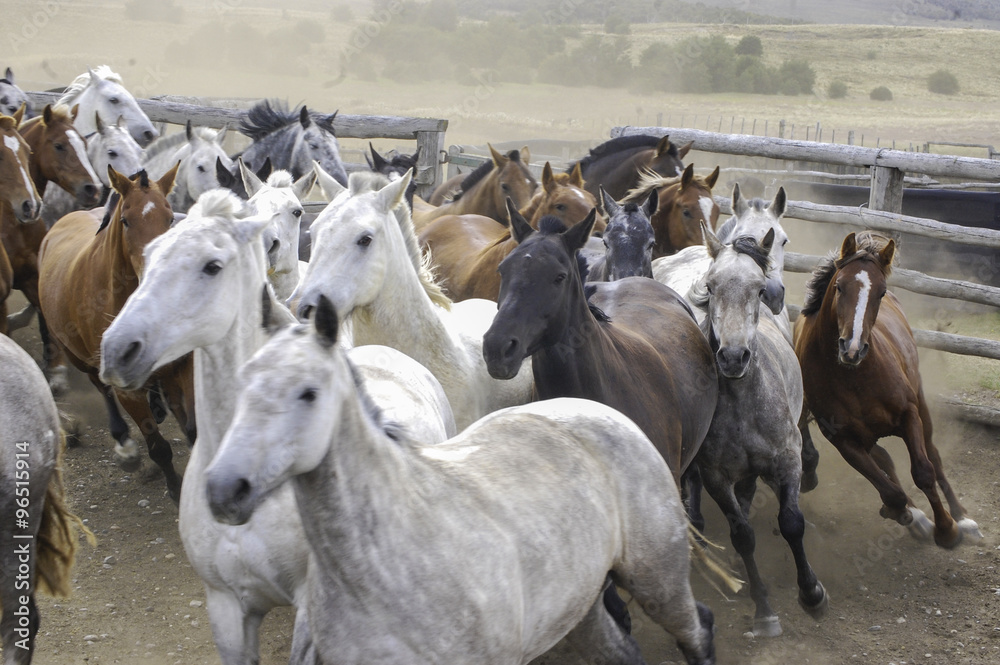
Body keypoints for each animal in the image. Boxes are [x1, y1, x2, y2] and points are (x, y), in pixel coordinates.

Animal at [37, 164, 194, 503]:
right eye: (126, 220)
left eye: (170, 218)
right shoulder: (126, 389)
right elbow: (158, 447)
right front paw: (175, 490)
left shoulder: (179, 367)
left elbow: (193, 429)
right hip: (81, 360)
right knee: (102, 389)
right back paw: (126, 446)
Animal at [204, 295, 717, 665]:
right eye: (244, 381)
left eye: (308, 393)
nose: (223, 489)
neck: (381, 567)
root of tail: (607, 414)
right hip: (583, 606)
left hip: (658, 579)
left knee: (699, 630)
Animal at [683, 226, 828, 637]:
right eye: (711, 286)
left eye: (758, 288)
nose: (733, 357)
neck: (741, 405)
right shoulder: (716, 477)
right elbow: (743, 535)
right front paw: (764, 611)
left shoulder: (786, 461)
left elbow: (792, 523)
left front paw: (812, 593)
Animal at [794, 231, 983, 549]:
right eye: (839, 286)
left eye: (880, 293)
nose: (852, 348)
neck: (855, 377)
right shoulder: (844, 440)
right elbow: (890, 489)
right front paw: (906, 514)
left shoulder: (909, 415)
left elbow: (923, 471)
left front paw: (947, 530)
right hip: (868, 435)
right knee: (885, 460)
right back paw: (916, 517)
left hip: (921, 403)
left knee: (934, 456)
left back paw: (963, 518)